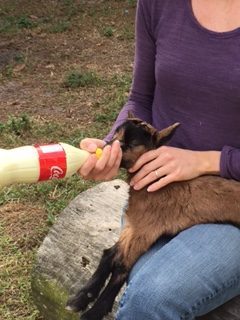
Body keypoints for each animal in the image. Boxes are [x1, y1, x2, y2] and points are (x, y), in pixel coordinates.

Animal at [66, 115, 240, 320]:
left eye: (132, 143)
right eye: (116, 134)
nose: (108, 147)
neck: (153, 185)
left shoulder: (145, 228)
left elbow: (121, 266)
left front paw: (94, 310)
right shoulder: (137, 226)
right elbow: (114, 258)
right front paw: (87, 301)